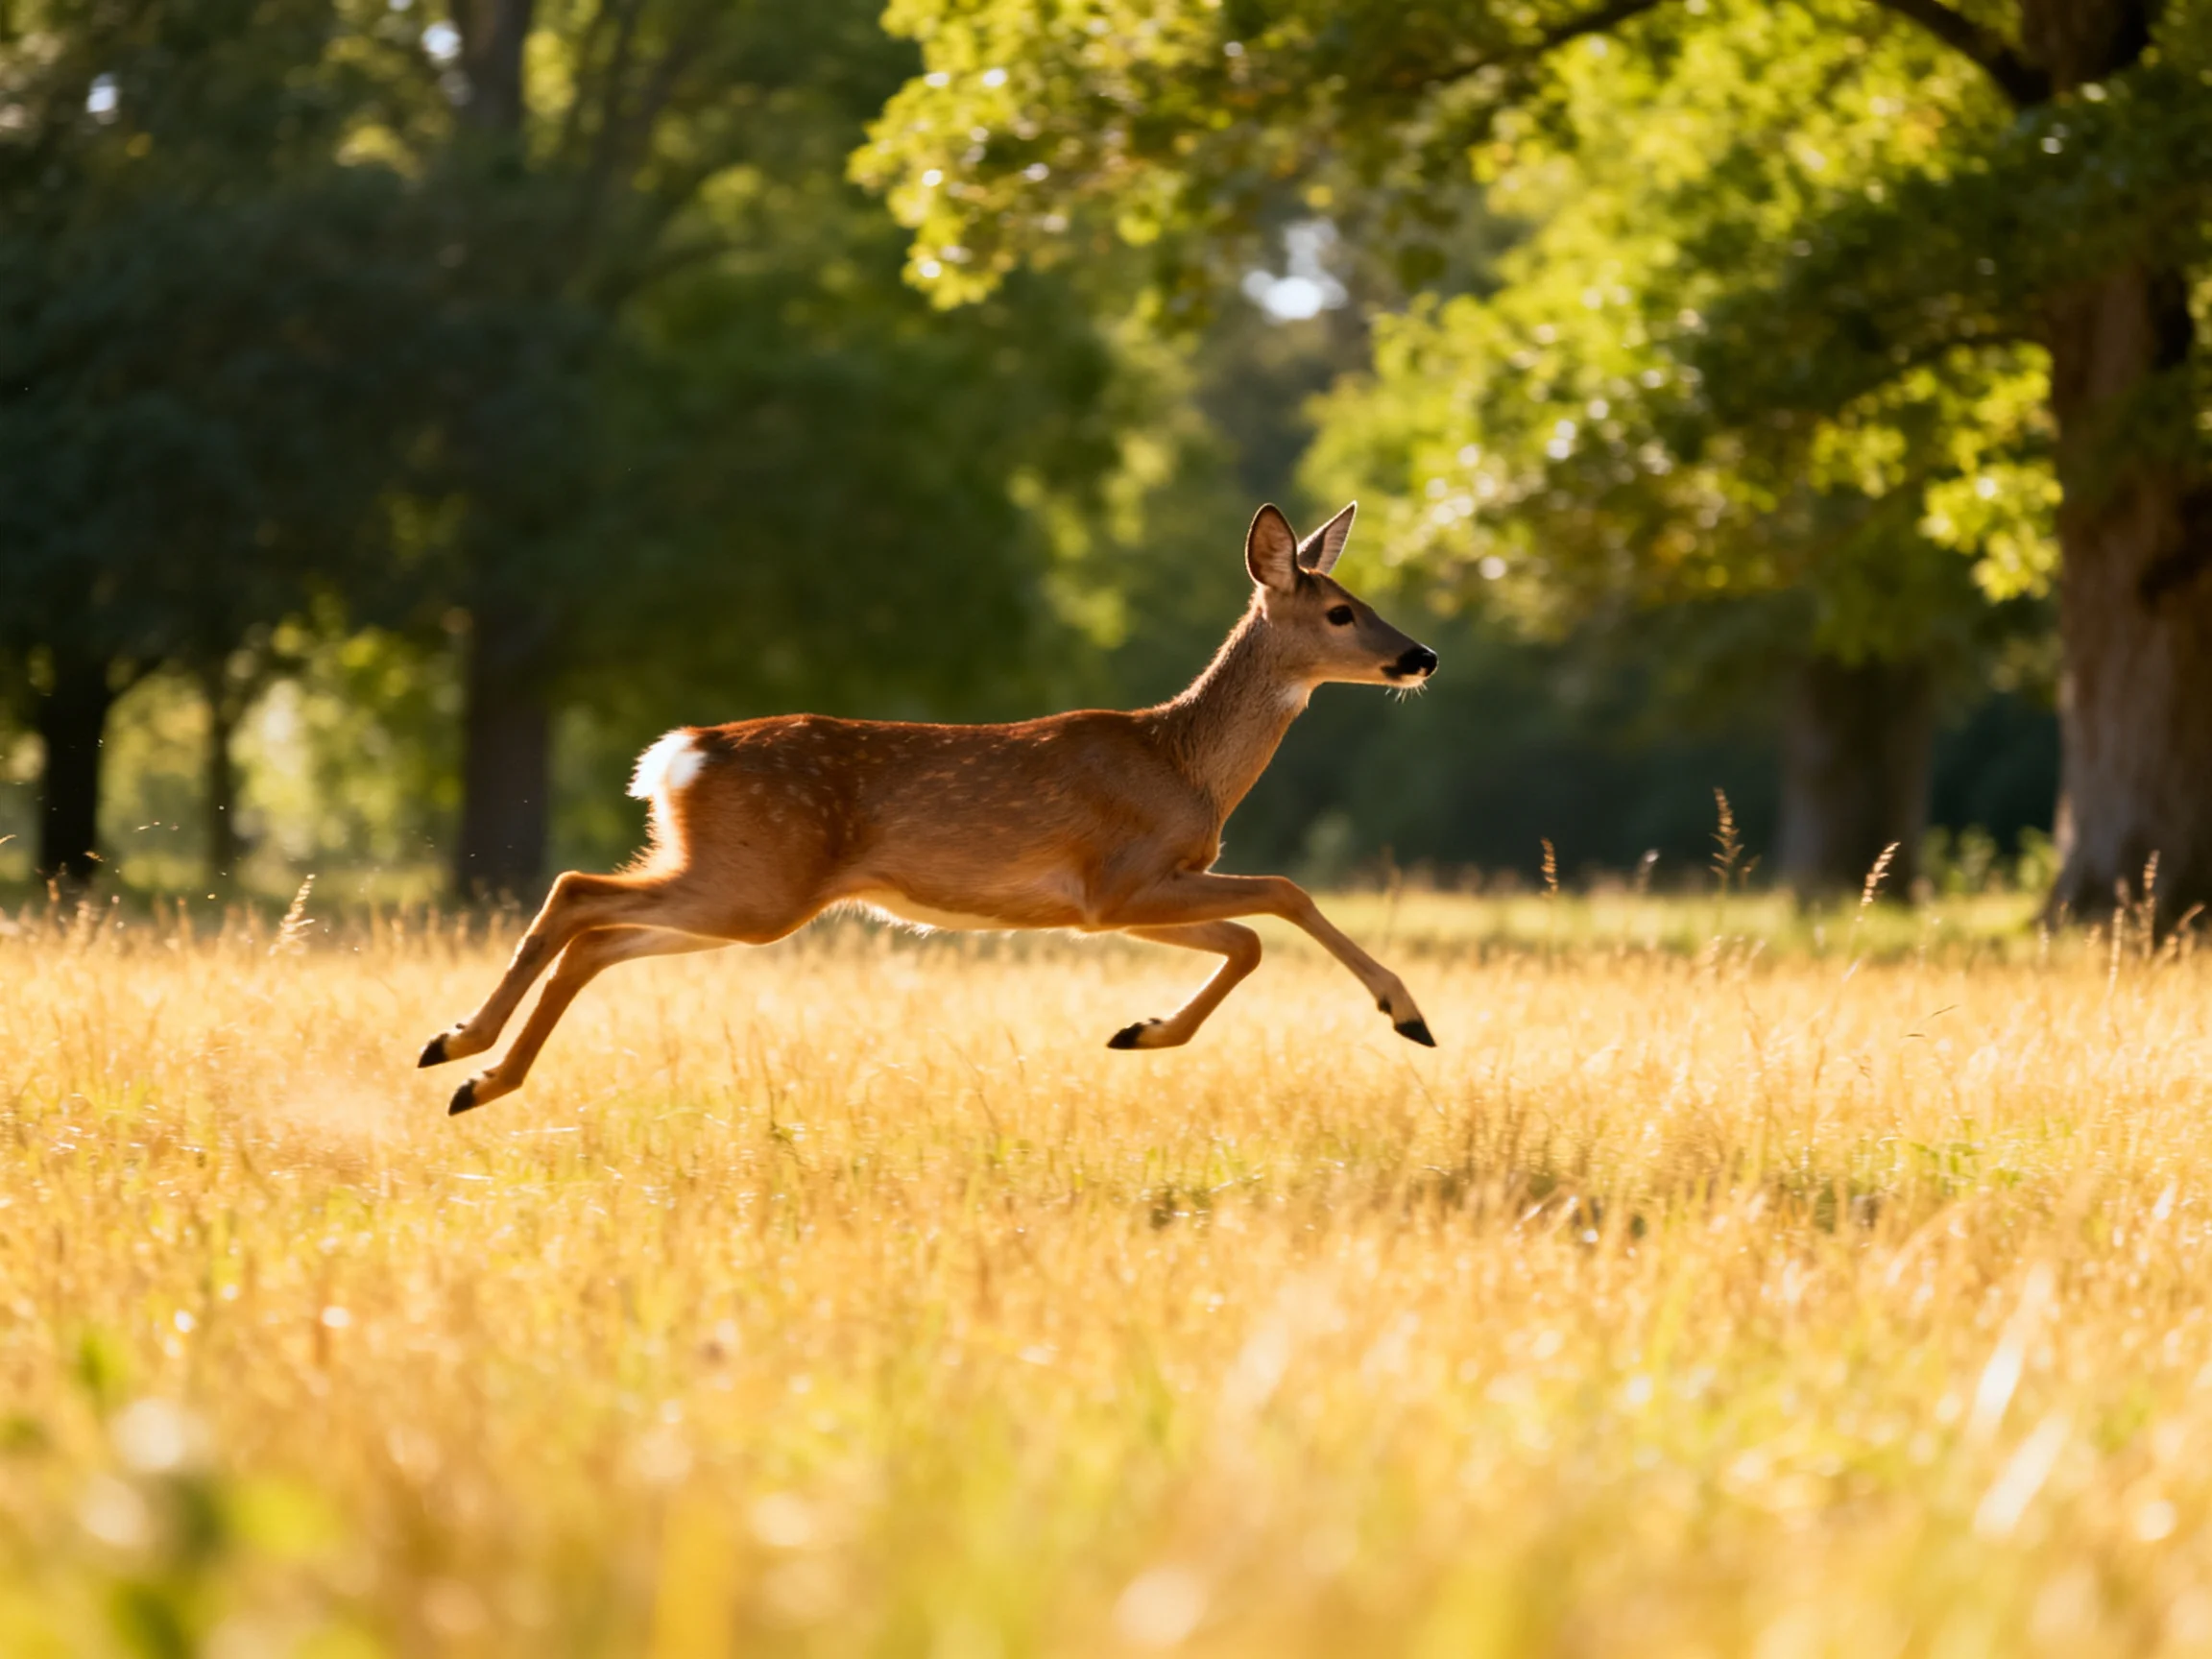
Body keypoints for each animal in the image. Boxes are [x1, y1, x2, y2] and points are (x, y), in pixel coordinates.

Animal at [419, 502, 1440, 1114]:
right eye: (1342, 612)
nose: (1421, 655)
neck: (1182, 762)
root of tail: (681, 754)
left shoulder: (1116, 901)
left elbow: (1249, 935)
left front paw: (1142, 1030)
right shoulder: (1117, 884)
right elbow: (1279, 900)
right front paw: (1406, 1013)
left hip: (736, 884)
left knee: (592, 931)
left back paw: (472, 1072)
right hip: (757, 885)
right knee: (575, 891)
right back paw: (463, 1051)